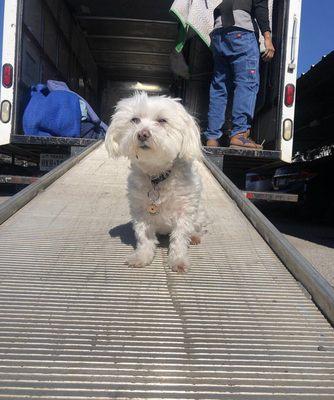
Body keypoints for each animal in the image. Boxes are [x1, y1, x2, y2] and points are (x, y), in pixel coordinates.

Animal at [105, 91, 205, 272]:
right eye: (135, 120)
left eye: (162, 121)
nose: (142, 133)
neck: (157, 176)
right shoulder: (141, 211)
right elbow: (144, 237)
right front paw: (142, 256)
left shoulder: (184, 211)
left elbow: (180, 237)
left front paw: (178, 260)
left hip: (199, 213)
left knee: (196, 226)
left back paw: (194, 236)